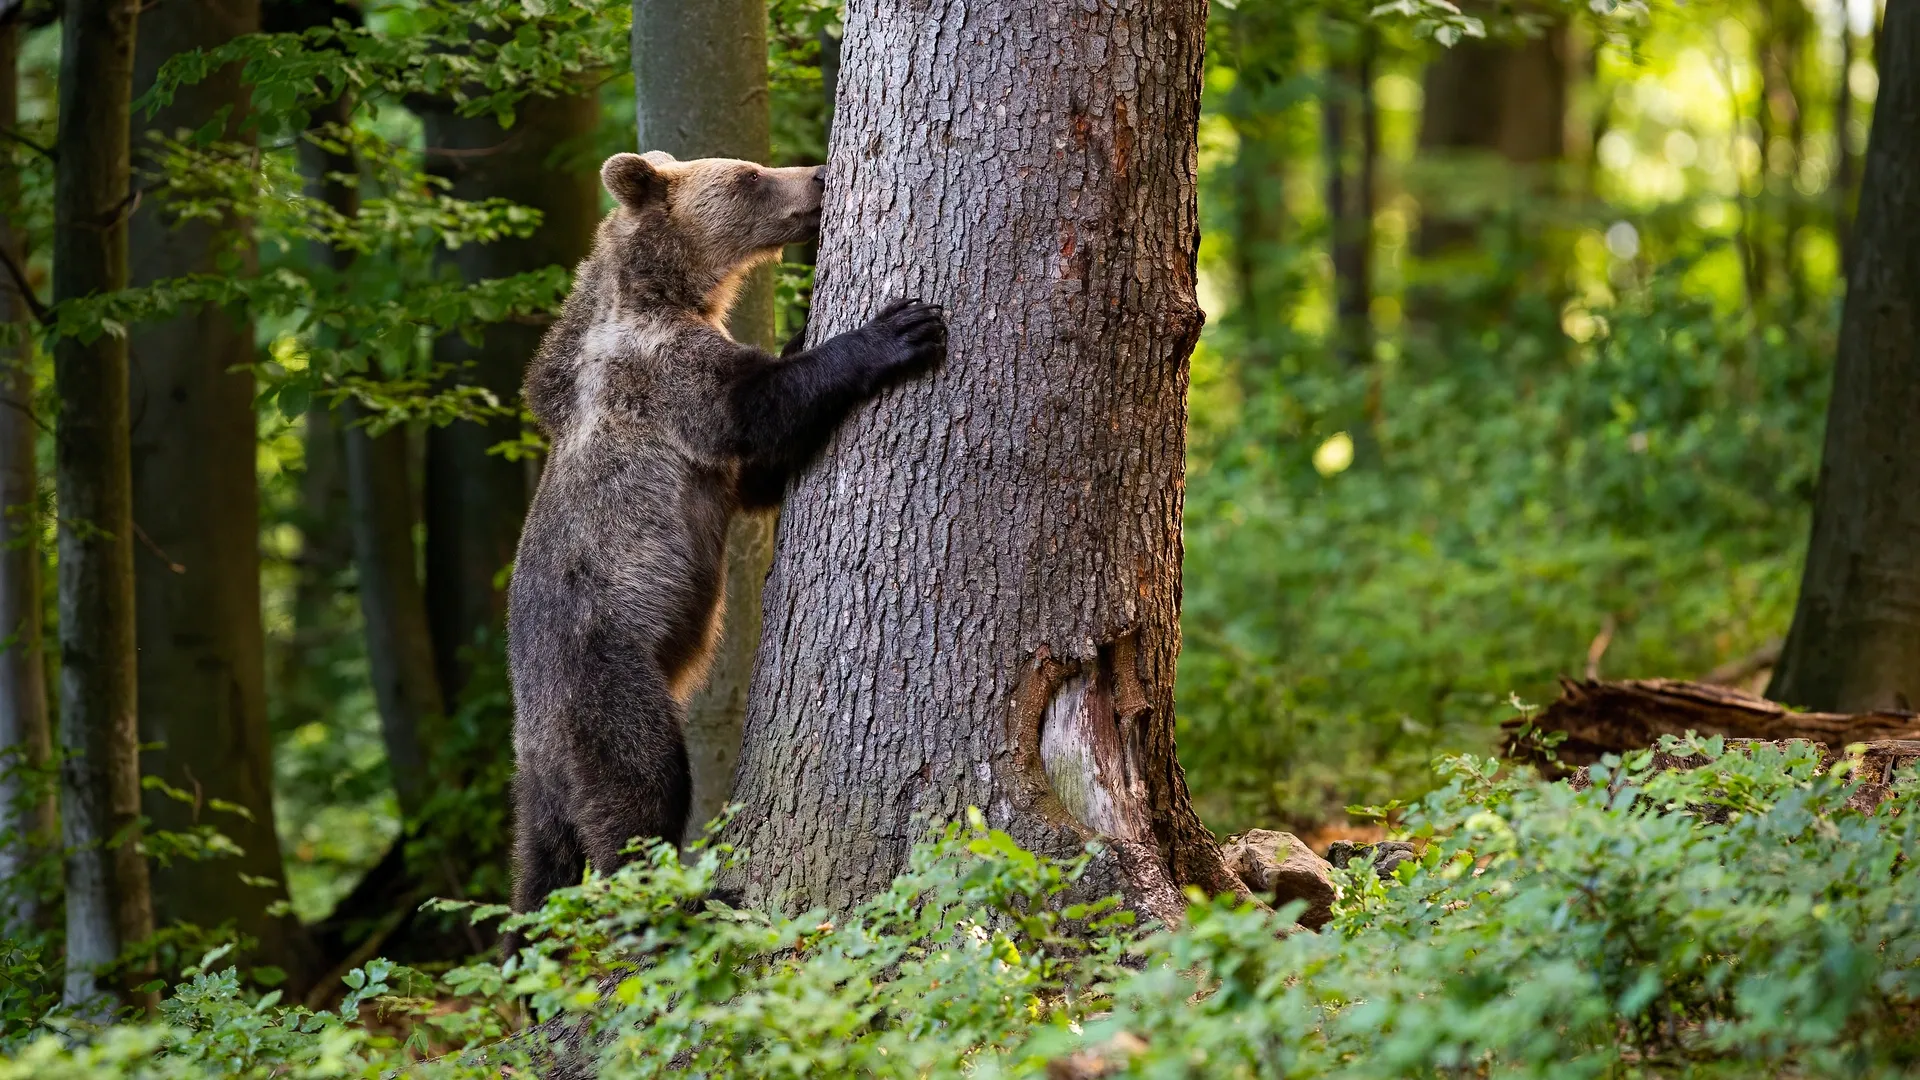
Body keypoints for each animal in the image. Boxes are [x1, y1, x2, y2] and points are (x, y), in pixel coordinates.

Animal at [499, 147, 940, 930]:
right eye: (747, 176)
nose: (819, 175)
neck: (665, 291)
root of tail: (536, 740)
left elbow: (763, 472)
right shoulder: (664, 376)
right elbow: (758, 408)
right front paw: (898, 328)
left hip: (543, 782)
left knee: (542, 870)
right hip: (607, 683)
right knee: (642, 791)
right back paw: (689, 898)